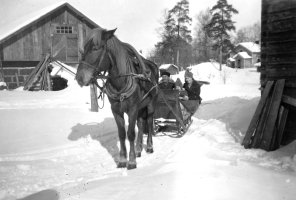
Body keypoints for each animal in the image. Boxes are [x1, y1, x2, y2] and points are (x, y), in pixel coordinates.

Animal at [76, 27, 160, 169]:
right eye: (83, 49)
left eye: (96, 48)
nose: (79, 78)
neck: (120, 83)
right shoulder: (116, 110)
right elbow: (121, 134)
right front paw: (122, 159)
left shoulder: (132, 108)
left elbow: (130, 134)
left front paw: (131, 161)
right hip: (140, 107)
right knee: (140, 124)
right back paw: (138, 149)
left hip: (151, 104)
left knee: (148, 123)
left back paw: (149, 146)